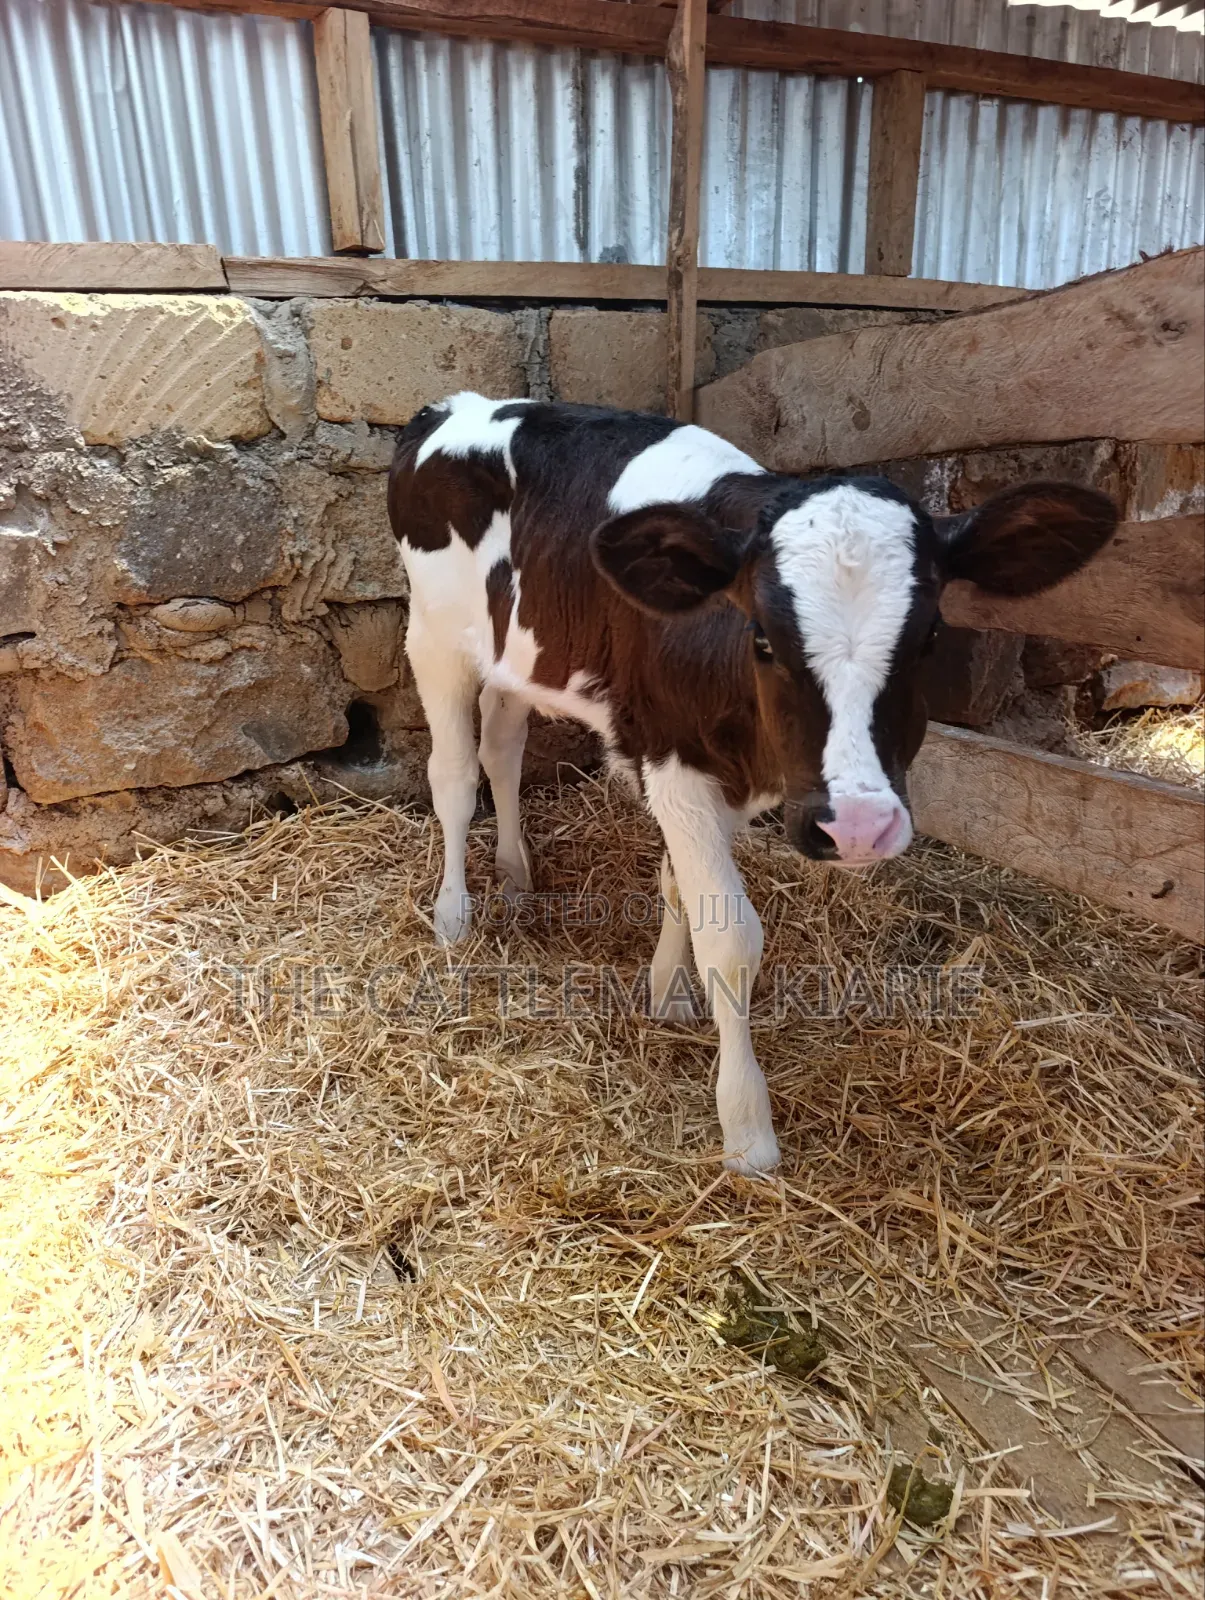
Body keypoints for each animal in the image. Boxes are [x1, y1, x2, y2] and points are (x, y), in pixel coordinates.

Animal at [387, 392, 1116, 1175]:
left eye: (927, 638)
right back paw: (453, 917)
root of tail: (457, 404)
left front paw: (668, 994)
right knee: (455, 777)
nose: (856, 827)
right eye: (762, 637)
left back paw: (516, 870)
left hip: (513, 651)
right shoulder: (673, 762)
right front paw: (746, 1129)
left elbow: (679, 886)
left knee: (503, 746)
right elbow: (730, 935)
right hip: (432, 636)